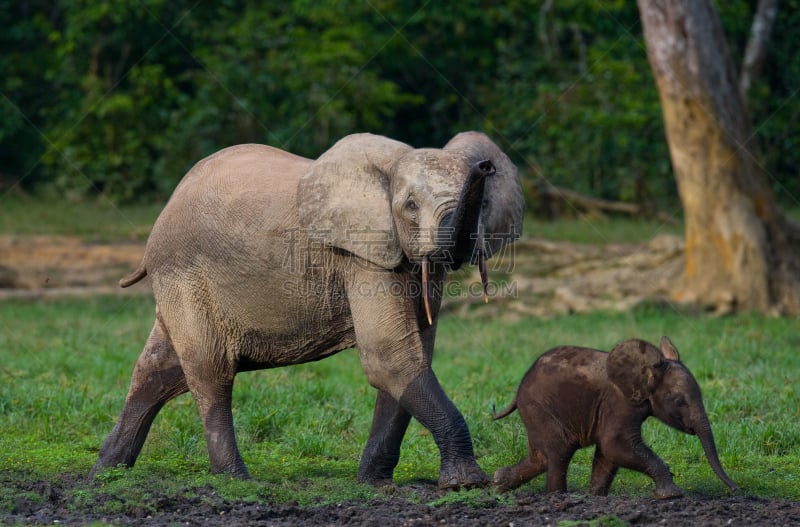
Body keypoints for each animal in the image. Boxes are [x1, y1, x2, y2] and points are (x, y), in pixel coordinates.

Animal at [90, 131, 524, 490]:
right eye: (411, 206)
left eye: (484, 202)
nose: (485, 166)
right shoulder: (361, 252)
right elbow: (389, 356)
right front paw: (466, 484)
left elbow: (410, 357)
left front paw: (375, 485)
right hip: (184, 274)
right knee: (210, 370)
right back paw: (236, 480)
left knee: (159, 370)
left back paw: (105, 474)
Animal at [494, 336, 736, 502]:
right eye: (679, 401)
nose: (735, 489)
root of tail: (519, 389)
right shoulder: (619, 402)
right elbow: (615, 445)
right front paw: (672, 496)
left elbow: (607, 453)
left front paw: (596, 498)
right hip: (540, 409)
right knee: (559, 451)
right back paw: (557, 496)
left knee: (541, 458)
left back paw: (498, 484)